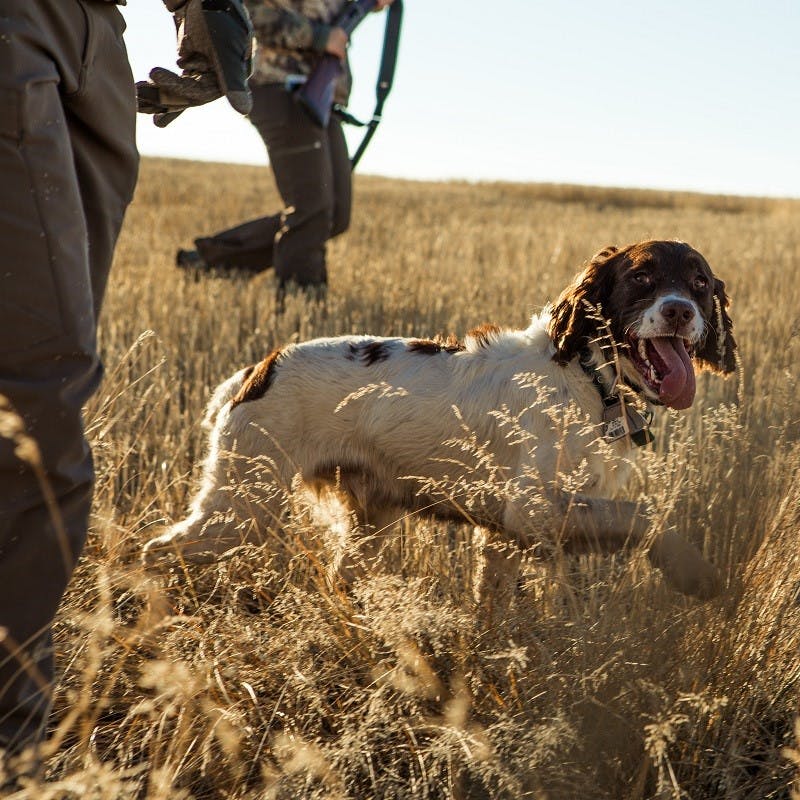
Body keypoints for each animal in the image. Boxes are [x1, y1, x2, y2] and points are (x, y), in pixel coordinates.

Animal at [145, 241, 736, 604]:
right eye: (641, 277)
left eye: (700, 282)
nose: (680, 311)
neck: (590, 379)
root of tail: (255, 371)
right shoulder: (530, 509)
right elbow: (643, 515)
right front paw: (694, 572)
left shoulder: (505, 535)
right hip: (240, 507)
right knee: (156, 551)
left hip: (366, 518)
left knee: (340, 577)